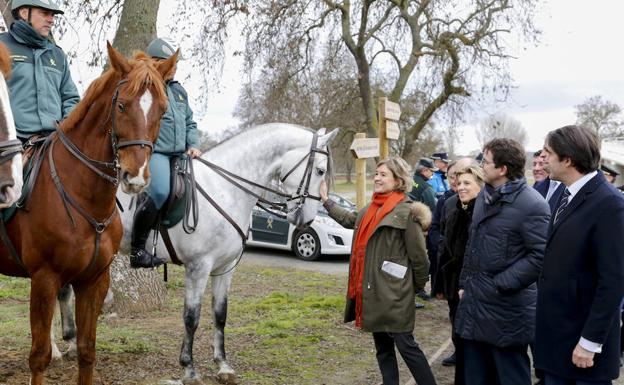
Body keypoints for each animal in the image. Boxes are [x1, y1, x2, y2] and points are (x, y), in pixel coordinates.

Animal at [0, 42, 178, 384]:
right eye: (121, 106)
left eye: (163, 110)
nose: (135, 176)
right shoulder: (44, 278)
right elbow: (39, 356)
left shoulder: (95, 280)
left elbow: (86, 350)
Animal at [111, 124, 336, 382]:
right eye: (320, 170)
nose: (307, 220)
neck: (223, 189)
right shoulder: (198, 267)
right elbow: (191, 317)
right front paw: (189, 368)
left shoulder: (225, 268)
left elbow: (220, 314)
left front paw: (223, 365)